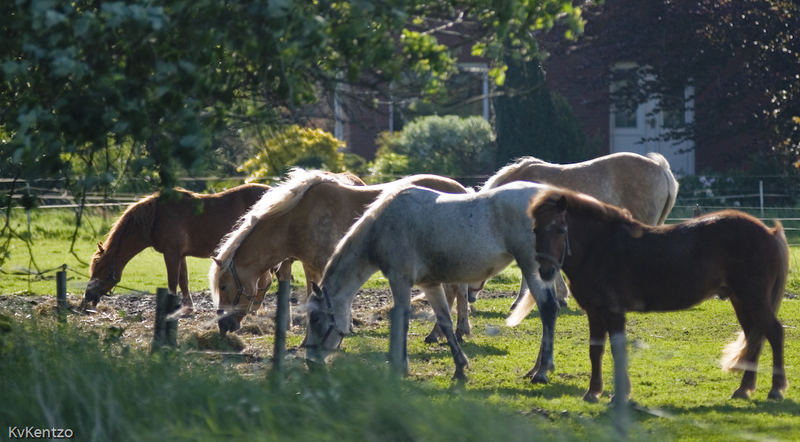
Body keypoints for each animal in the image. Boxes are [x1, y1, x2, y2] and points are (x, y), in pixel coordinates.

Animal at [81, 185, 270, 312]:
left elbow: (172, 282)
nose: (87, 297)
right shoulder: (180, 255)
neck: (157, 216)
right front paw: (188, 308)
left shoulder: (171, 254)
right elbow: (183, 280)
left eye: (100, 270)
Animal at [209, 170, 478, 334]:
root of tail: (461, 189)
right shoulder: (311, 266)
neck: (296, 219)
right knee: (455, 292)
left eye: (223, 286)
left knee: (456, 291)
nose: (224, 325)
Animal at [304, 181, 560, 382]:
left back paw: (541, 372)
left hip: (532, 267)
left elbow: (401, 319)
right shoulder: (430, 284)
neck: (382, 227)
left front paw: (399, 367)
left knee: (548, 309)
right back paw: (536, 369)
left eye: (315, 318)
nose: (310, 363)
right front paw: (459, 367)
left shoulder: (400, 280)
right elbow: (444, 321)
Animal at [516, 188, 792, 402]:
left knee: (774, 333)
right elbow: (596, 351)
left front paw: (619, 395)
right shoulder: (594, 312)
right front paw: (593, 392)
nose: (545, 270)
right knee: (755, 336)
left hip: (753, 298)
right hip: (741, 300)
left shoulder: (613, 312)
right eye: (536, 230)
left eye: (560, 229)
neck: (600, 248)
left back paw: (775, 390)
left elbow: (617, 350)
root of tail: (769, 232)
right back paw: (744, 389)